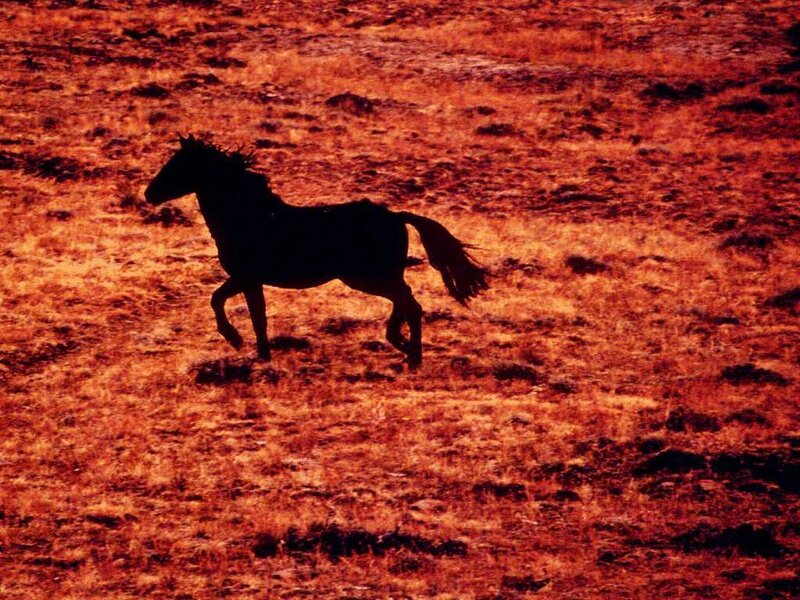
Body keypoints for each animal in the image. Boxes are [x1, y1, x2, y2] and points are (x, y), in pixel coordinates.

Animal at [144, 134, 488, 367]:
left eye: (178, 165)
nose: (149, 194)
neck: (250, 217)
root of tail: (396, 216)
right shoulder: (248, 280)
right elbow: (248, 312)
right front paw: (259, 352)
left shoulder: (246, 277)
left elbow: (228, 305)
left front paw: (238, 342)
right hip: (376, 277)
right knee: (406, 301)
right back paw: (403, 345)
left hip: (368, 277)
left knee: (410, 304)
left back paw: (411, 354)